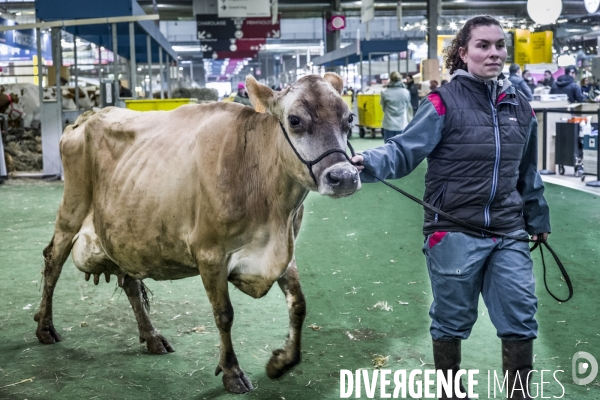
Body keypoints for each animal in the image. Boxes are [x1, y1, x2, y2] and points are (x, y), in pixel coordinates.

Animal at [34, 72, 360, 394]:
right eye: (294, 120)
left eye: (349, 118)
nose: (343, 177)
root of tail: (87, 116)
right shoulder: (210, 253)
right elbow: (224, 313)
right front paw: (232, 372)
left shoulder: (283, 251)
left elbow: (299, 304)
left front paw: (281, 362)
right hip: (71, 212)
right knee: (52, 263)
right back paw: (45, 328)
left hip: (124, 233)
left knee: (130, 283)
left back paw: (152, 336)